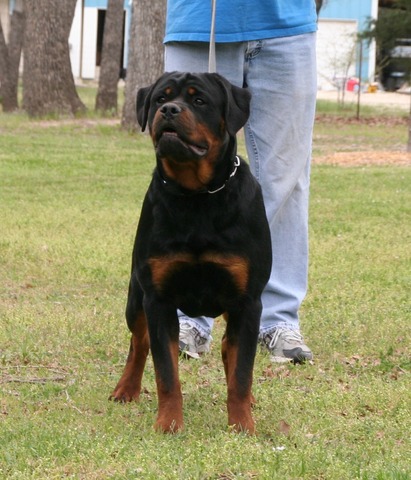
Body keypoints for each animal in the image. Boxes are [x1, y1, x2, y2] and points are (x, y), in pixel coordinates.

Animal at [109, 72, 272, 436]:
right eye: (160, 98)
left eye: (199, 101)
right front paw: (169, 423)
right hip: (135, 298)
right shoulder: (158, 299)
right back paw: (126, 389)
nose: (169, 110)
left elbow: (242, 372)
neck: (198, 196)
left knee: (231, 350)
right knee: (138, 343)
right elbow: (166, 373)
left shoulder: (248, 301)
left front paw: (242, 424)